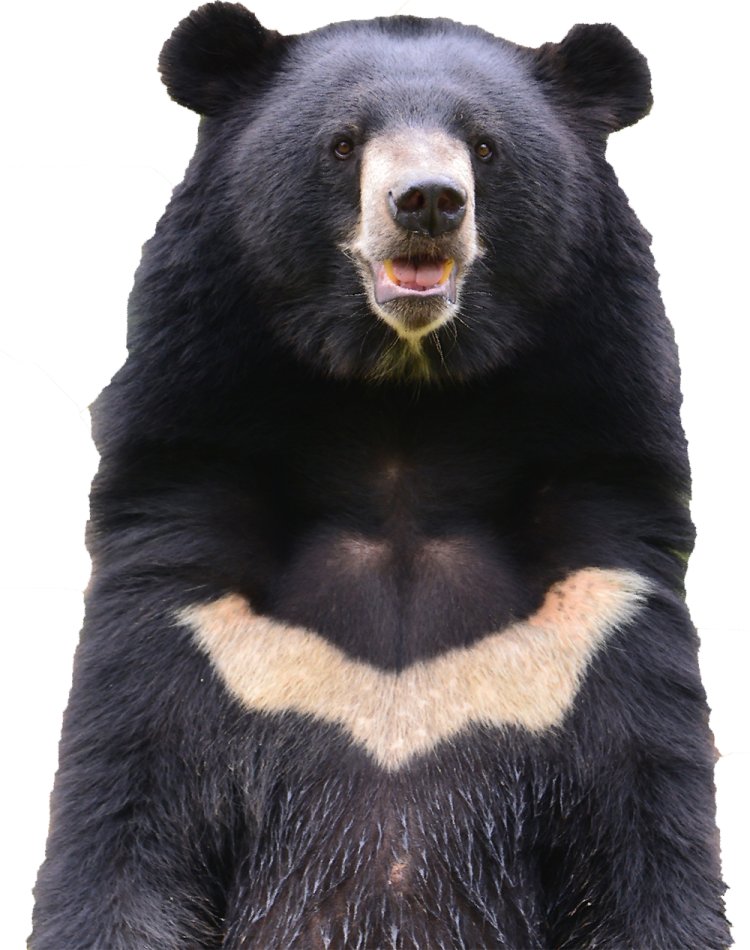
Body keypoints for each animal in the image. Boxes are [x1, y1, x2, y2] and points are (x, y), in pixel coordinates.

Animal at [29, 4, 732, 948]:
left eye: (484, 145)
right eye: (341, 143)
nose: (427, 202)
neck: (402, 420)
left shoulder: (597, 614)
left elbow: (647, 853)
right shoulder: (187, 609)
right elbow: (124, 829)